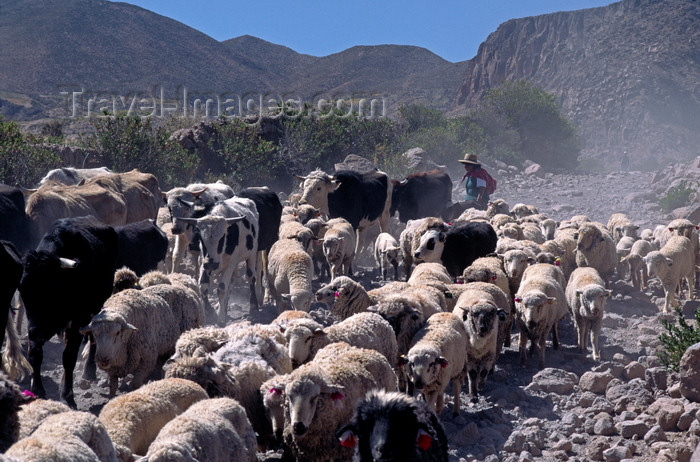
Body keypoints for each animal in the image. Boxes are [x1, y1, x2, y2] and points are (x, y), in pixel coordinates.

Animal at [18, 215, 119, 406]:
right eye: (22, 290)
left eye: (50, 289)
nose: (35, 333)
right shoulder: (34, 324)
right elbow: (35, 354)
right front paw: (38, 390)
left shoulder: (78, 319)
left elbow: (69, 357)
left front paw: (67, 395)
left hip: (95, 308)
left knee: (93, 337)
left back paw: (89, 371)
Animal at [178, 196, 260, 324]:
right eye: (201, 237)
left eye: (222, 238)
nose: (211, 263)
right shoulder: (204, 263)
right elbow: (203, 287)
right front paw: (210, 311)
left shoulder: (229, 264)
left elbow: (222, 289)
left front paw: (221, 318)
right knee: (232, 282)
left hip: (252, 254)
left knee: (251, 277)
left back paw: (253, 306)